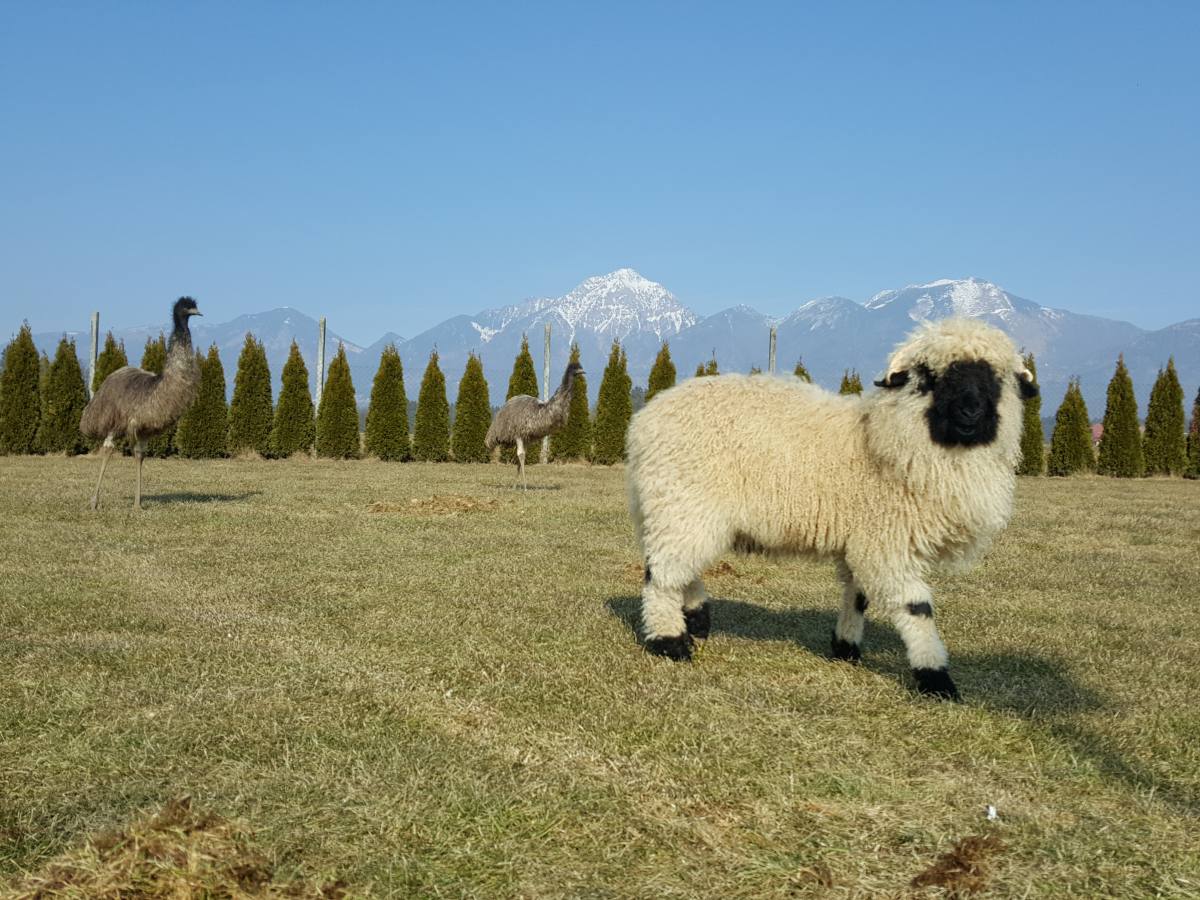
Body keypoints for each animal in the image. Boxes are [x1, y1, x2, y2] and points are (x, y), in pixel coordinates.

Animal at [625, 318, 1038, 700]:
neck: (885, 439)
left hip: (681, 510)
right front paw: (936, 678)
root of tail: (646, 419)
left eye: (995, 378)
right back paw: (670, 641)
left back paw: (697, 619)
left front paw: (846, 647)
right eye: (929, 377)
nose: (970, 412)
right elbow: (916, 607)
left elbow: (858, 596)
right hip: (682, 503)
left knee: (679, 567)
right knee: (662, 575)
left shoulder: (863, 537)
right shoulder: (885, 541)